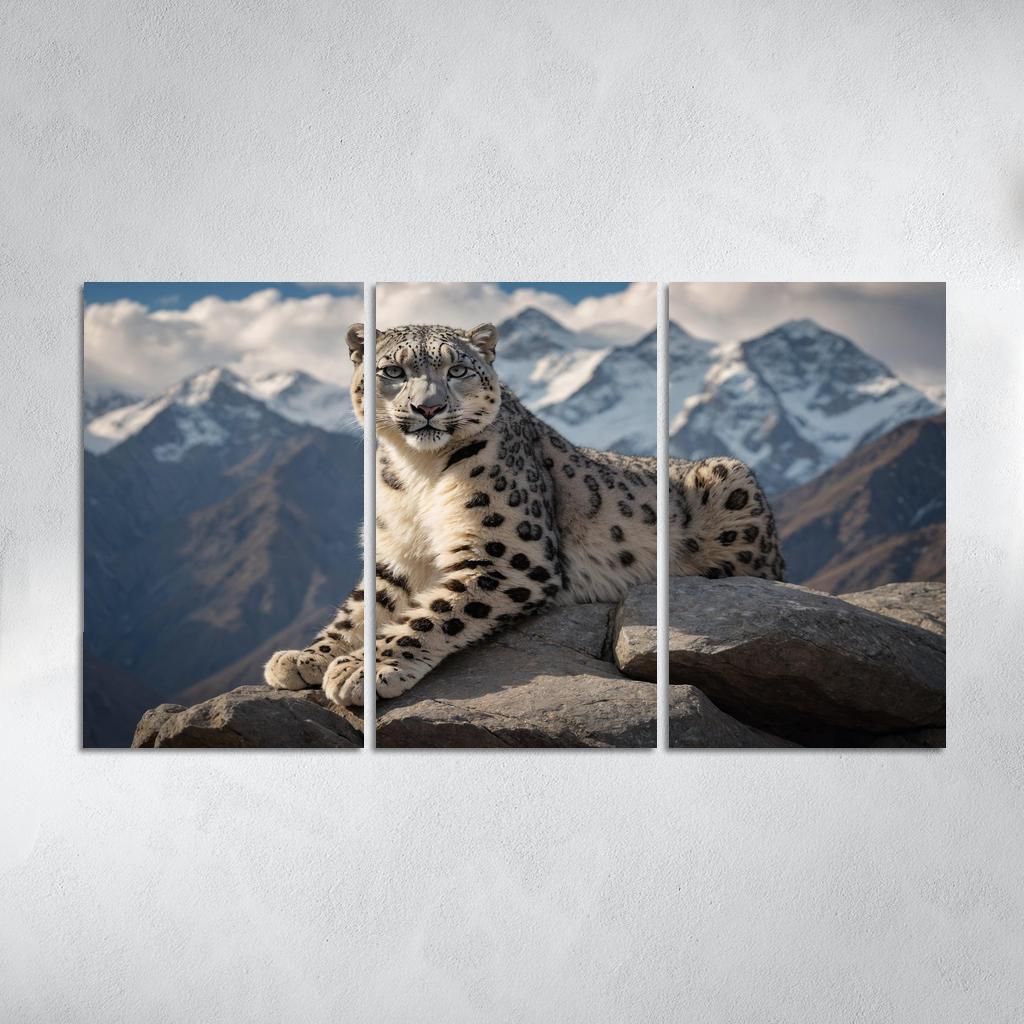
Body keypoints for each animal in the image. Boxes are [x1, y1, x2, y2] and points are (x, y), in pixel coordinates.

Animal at [264, 320, 785, 706]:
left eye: (458, 369)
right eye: (392, 371)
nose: (429, 407)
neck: (417, 473)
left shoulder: (507, 555)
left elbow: (432, 614)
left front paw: (362, 669)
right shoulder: (396, 553)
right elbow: (359, 609)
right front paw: (305, 658)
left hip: (732, 482)